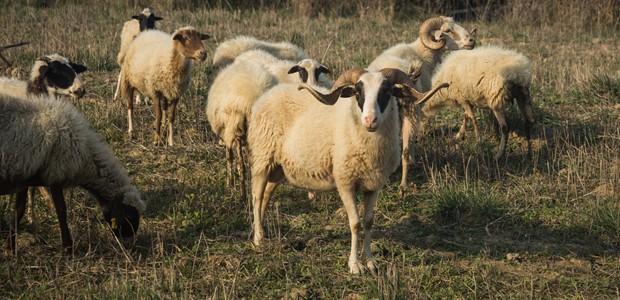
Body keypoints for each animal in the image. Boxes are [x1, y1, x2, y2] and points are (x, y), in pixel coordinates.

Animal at [0, 92, 145, 254]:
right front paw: (68, 248)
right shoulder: (56, 172)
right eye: (129, 217)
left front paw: (9, 246)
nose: (129, 246)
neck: (86, 157)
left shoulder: (25, 174)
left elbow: (19, 210)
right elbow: (61, 211)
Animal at [246, 67, 446, 274]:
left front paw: (370, 261)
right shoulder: (345, 182)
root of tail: (267, 95)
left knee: (267, 195)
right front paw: (354, 265)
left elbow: (368, 221)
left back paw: (262, 230)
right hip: (262, 158)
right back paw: (258, 238)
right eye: (358, 91)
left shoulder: (373, 185)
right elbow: (355, 223)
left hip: (278, 168)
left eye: (387, 91)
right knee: (257, 196)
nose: (370, 120)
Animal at [368, 15, 474, 196]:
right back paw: (403, 185)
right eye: (447, 30)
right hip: (409, 112)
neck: (421, 53)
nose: (472, 41)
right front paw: (412, 160)